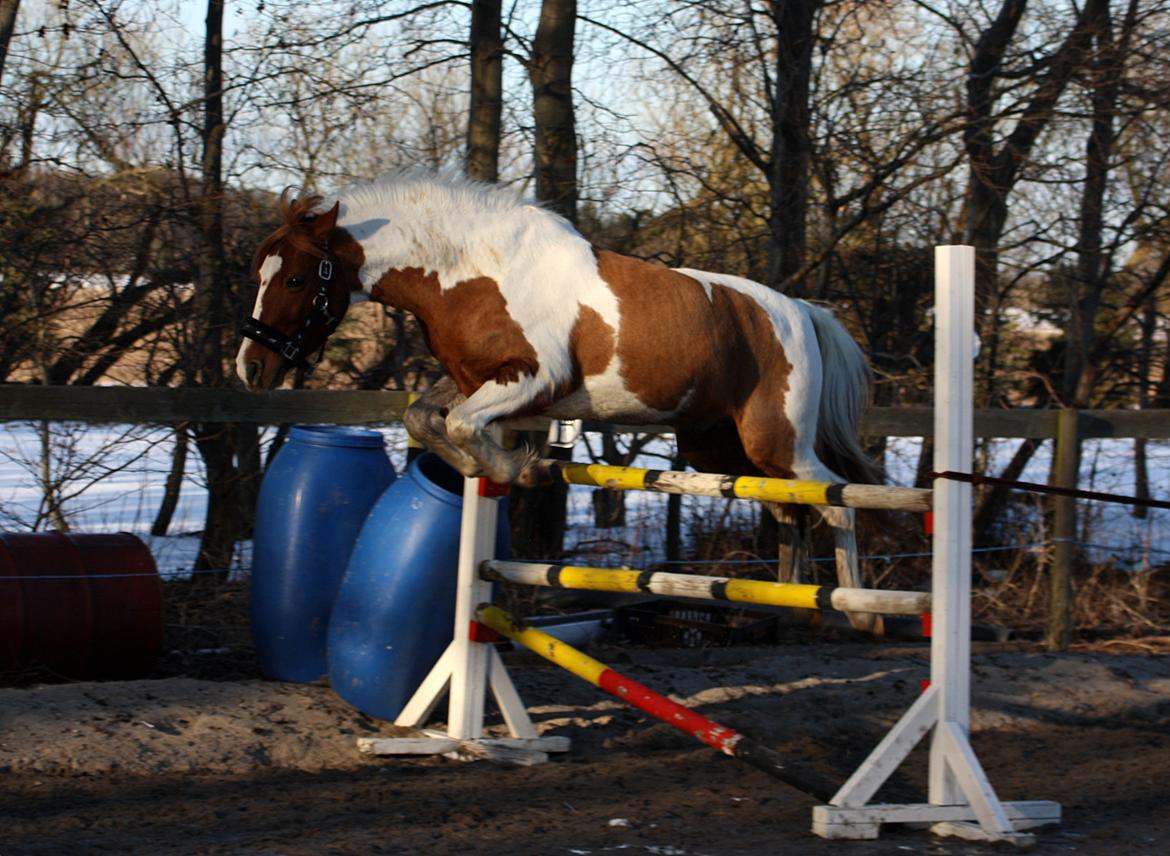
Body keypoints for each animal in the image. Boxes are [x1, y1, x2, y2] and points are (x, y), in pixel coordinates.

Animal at [235, 170, 879, 631]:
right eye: (258, 276)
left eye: (295, 279)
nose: (250, 368)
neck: (476, 272)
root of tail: (802, 313)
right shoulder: (473, 378)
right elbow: (424, 418)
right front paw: (488, 469)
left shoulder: (533, 379)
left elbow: (463, 426)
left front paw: (516, 470)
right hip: (721, 448)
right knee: (789, 510)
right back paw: (784, 606)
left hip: (778, 443)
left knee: (836, 501)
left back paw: (858, 613)